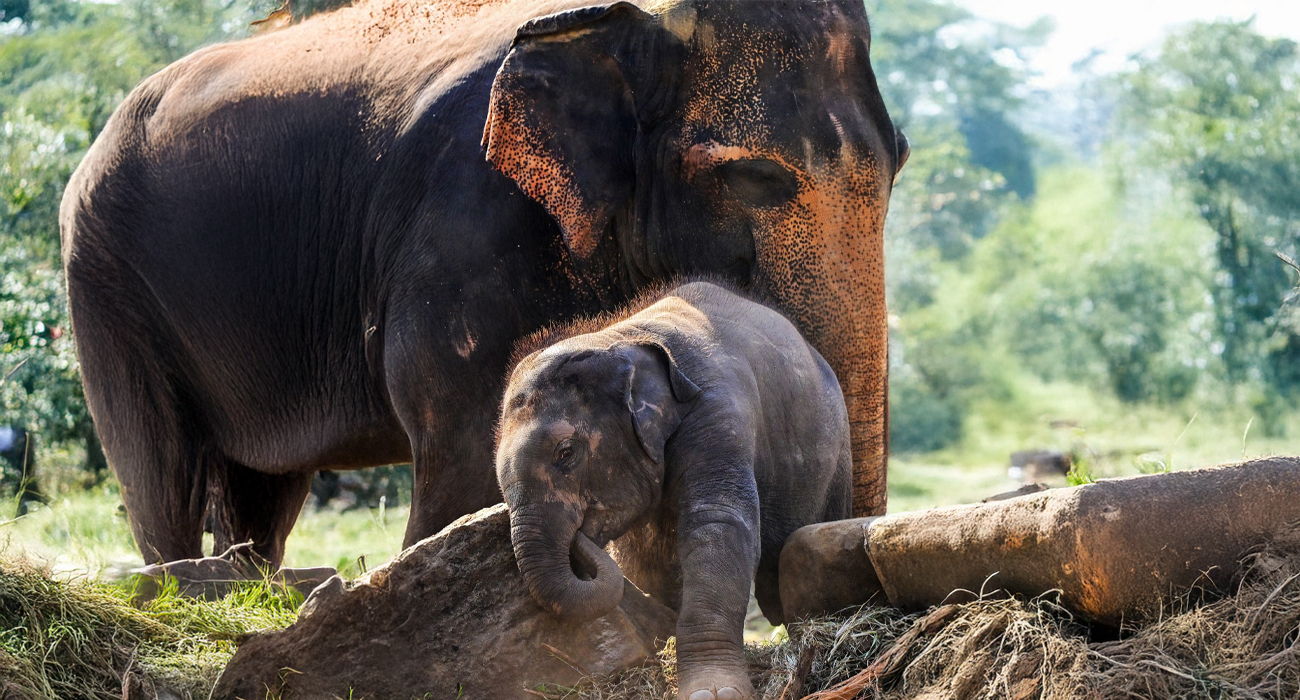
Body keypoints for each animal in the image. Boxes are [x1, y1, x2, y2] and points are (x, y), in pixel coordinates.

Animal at [60, 0, 906, 567]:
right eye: (754, 176)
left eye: (899, 159)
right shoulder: (464, 222)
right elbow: (469, 456)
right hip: (104, 278)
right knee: (162, 471)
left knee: (262, 490)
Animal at [496, 281, 850, 700]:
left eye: (566, 453)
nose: (580, 535)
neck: (622, 338)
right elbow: (645, 561)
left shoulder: (718, 412)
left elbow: (717, 525)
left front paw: (713, 692)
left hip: (839, 456)